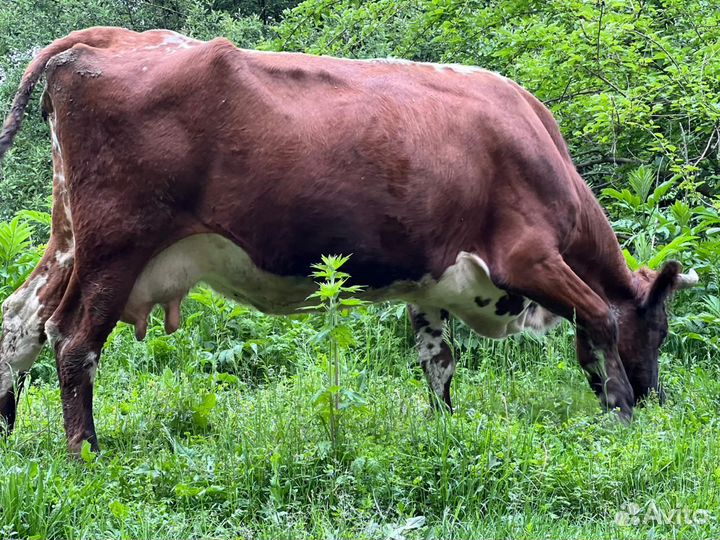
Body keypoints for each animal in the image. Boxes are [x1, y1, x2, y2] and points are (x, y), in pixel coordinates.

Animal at [0, 27, 698, 454]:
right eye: (660, 328)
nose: (659, 398)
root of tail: (106, 37)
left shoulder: (432, 283)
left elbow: (438, 361)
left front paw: (444, 431)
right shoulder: (527, 257)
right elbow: (602, 316)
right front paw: (620, 409)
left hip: (71, 240)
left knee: (20, 322)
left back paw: (7, 429)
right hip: (117, 247)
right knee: (74, 344)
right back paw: (85, 453)